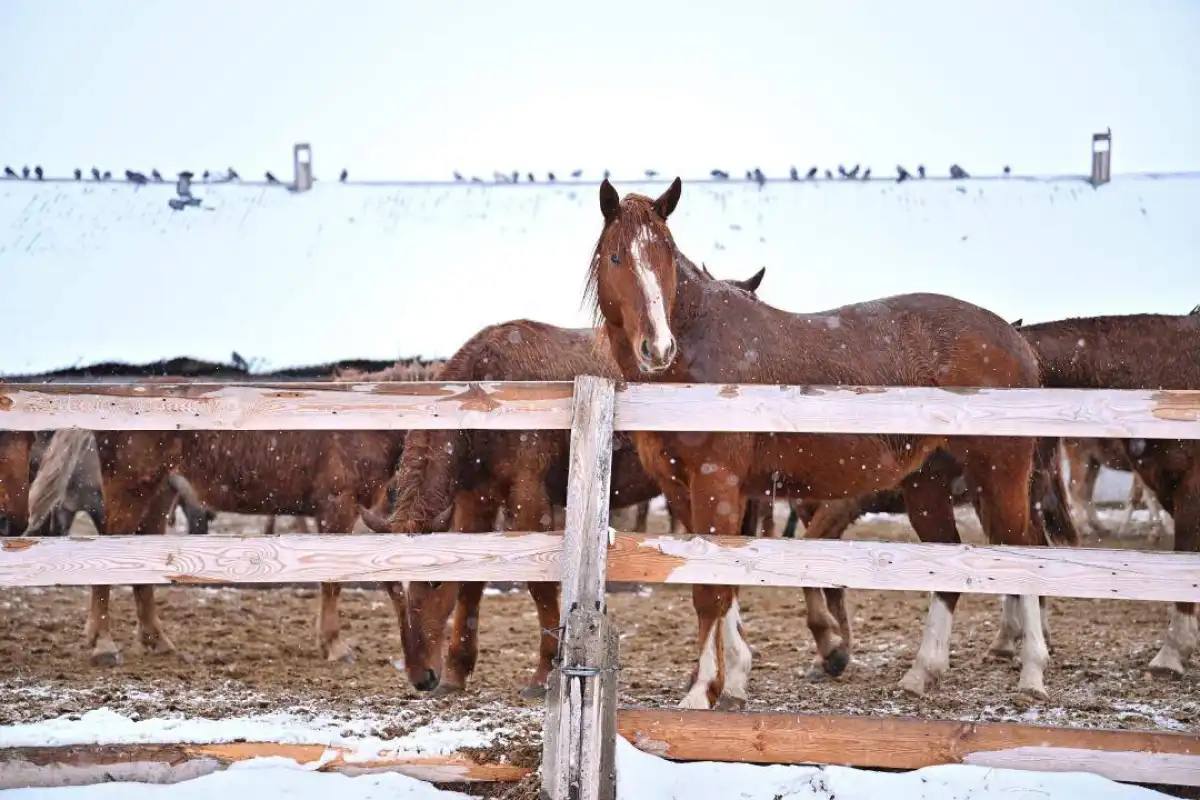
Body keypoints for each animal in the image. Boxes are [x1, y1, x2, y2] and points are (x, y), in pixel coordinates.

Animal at [355, 266, 768, 695]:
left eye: (433, 583)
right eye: (390, 588)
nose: (421, 676)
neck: (487, 400)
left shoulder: (528, 495)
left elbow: (539, 587)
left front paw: (541, 673)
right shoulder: (476, 498)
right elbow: (471, 583)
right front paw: (457, 671)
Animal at [585, 178, 1056, 710]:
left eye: (665, 254)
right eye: (617, 256)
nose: (658, 347)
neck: (699, 352)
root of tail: (1015, 338)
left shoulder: (717, 485)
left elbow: (711, 589)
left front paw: (702, 692)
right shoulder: (683, 490)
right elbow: (723, 582)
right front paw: (735, 679)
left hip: (1001, 472)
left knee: (1023, 552)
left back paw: (1032, 671)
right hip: (929, 480)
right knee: (948, 565)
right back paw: (922, 672)